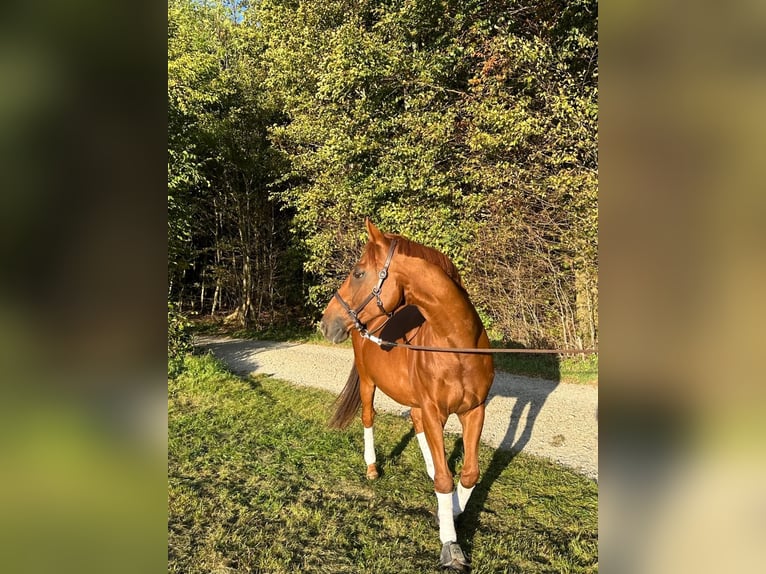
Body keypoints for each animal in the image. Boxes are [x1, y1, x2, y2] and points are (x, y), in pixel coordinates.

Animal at [320, 219, 496, 572]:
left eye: (358, 272)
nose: (325, 323)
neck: (456, 346)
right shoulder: (433, 409)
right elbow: (444, 478)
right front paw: (450, 544)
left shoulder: (474, 410)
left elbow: (468, 473)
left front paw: (453, 510)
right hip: (368, 383)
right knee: (369, 418)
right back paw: (372, 468)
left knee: (416, 425)